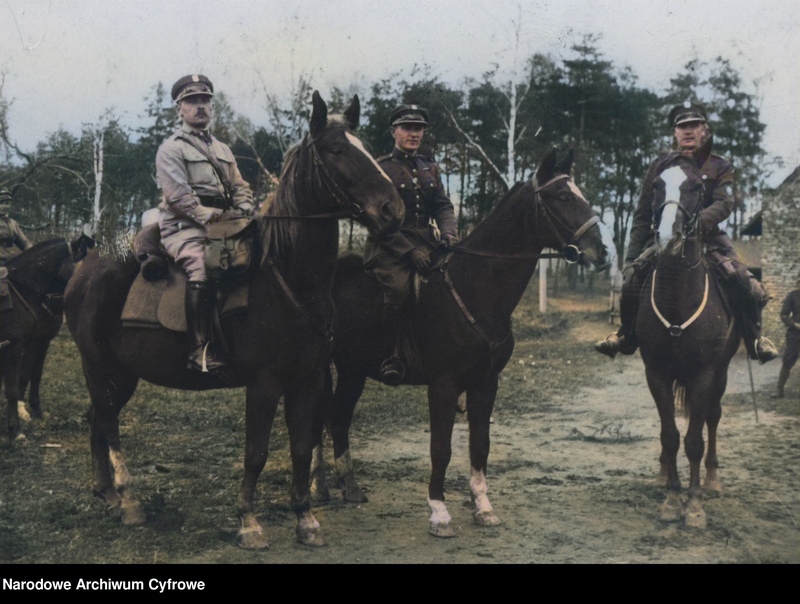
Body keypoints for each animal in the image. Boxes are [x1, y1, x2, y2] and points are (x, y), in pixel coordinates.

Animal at [0, 238, 74, 442]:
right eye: (75, 261)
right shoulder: (16, 346)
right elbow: (14, 386)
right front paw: (15, 428)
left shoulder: (41, 341)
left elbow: (34, 374)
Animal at [63, 92, 404, 548]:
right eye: (336, 150)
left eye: (363, 146)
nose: (393, 209)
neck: (286, 278)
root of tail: (85, 266)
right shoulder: (264, 383)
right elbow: (256, 452)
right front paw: (248, 522)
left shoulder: (309, 379)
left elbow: (301, 446)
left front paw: (306, 519)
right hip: (102, 368)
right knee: (108, 423)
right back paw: (128, 500)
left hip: (119, 374)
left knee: (97, 419)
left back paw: (108, 495)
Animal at [316, 149, 608, 536]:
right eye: (562, 196)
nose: (602, 253)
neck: (475, 288)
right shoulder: (443, 385)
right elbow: (441, 447)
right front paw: (439, 512)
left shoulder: (486, 383)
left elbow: (480, 444)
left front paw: (483, 506)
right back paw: (317, 487)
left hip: (352, 369)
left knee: (338, 415)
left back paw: (348, 486)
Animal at [636, 165, 740, 528]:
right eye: (655, 185)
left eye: (696, 187)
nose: (669, 239)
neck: (678, 299)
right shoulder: (656, 373)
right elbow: (670, 436)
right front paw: (671, 498)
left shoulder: (705, 375)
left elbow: (694, 440)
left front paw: (694, 505)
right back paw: (662, 472)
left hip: (721, 374)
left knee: (713, 415)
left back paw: (711, 479)